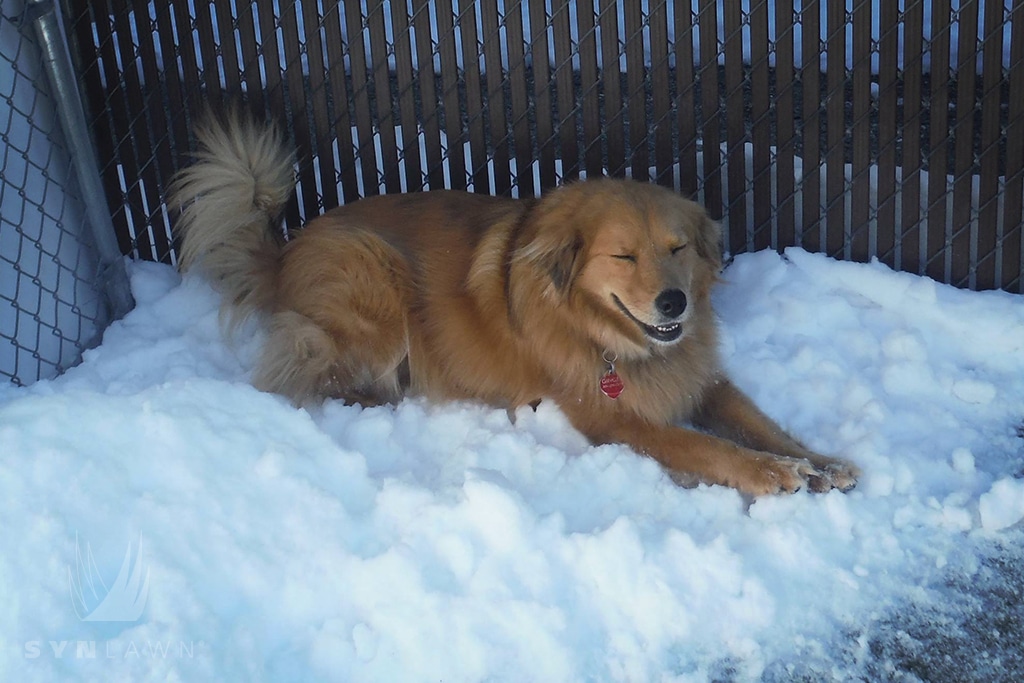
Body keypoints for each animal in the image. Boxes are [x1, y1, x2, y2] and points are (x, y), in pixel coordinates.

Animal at [167, 112, 856, 497]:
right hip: (375, 279)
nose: (674, 303)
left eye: (677, 247)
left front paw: (818, 461)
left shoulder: (699, 376)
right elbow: (709, 448)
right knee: (304, 374)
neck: (605, 335)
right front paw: (771, 473)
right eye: (624, 256)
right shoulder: (616, 421)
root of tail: (285, 250)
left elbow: (760, 422)